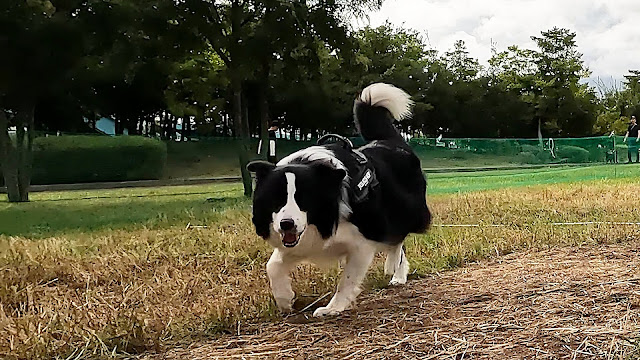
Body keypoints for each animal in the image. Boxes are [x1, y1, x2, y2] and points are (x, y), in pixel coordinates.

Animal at [248, 83, 432, 316]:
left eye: (303, 198)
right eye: (276, 199)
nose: (286, 224)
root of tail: (392, 141)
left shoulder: (363, 242)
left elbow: (347, 280)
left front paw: (333, 308)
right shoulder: (305, 240)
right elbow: (272, 266)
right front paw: (284, 299)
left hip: (406, 209)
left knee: (399, 235)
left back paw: (393, 265)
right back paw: (398, 275)